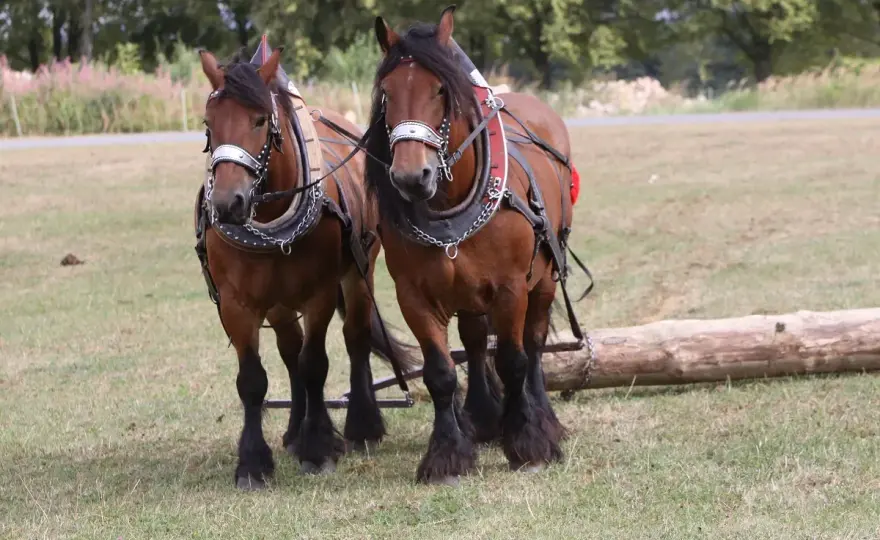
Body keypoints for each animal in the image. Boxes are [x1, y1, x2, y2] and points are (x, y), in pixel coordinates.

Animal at [194, 39, 419, 490]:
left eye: (260, 120)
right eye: (209, 123)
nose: (227, 204)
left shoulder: (319, 294)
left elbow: (315, 365)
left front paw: (319, 449)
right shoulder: (236, 304)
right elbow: (254, 380)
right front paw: (253, 463)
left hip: (358, 272)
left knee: (354, 339)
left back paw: (360, 427)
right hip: (279, 302)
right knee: (288, 350)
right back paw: (295, 429)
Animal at [364, 6, 590, 485]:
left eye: (440, 90)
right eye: (387, 95)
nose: (412, 177)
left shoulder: (510, 289)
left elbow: (513, 359)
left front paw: (529, 443)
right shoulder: (414, 296)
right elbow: (440, 373)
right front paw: (447, 455)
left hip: (544, 278)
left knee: (534, 345)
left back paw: (541, 418)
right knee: (471, 340)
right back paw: (484, 418)